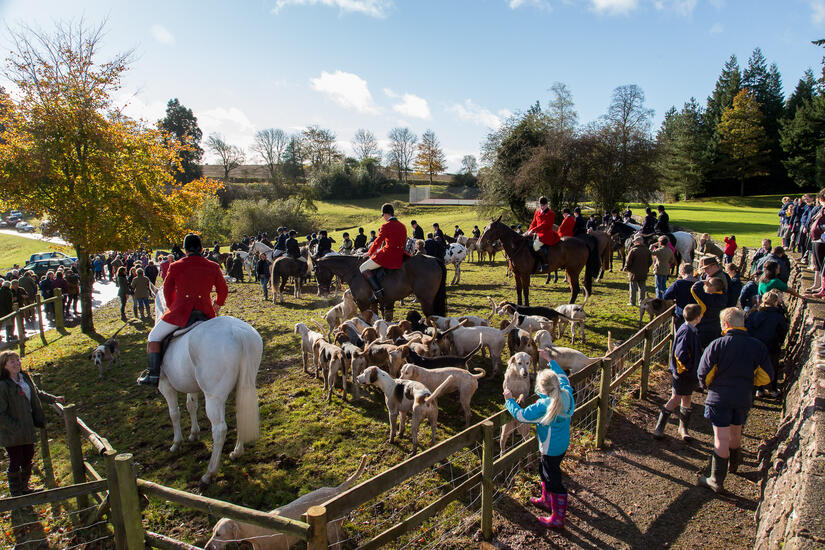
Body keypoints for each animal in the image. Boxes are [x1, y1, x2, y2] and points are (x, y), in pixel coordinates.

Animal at [151, 288, 260, 488]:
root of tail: (238, 332)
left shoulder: (165, 386)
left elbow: (174, 413)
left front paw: (176, 443)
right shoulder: (191, 385)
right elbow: (191, 406)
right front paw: (194, 434)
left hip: (214, 397)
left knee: (219, 430)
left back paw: (209, 473)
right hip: (244, 385)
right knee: (241, 414)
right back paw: (236, 452)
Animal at [314, 256, 444, 322]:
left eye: (317, 272)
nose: (321, 293)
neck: (354, 271)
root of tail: (434, 259)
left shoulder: (363, 303)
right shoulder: (372, 303)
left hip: (426, 300)